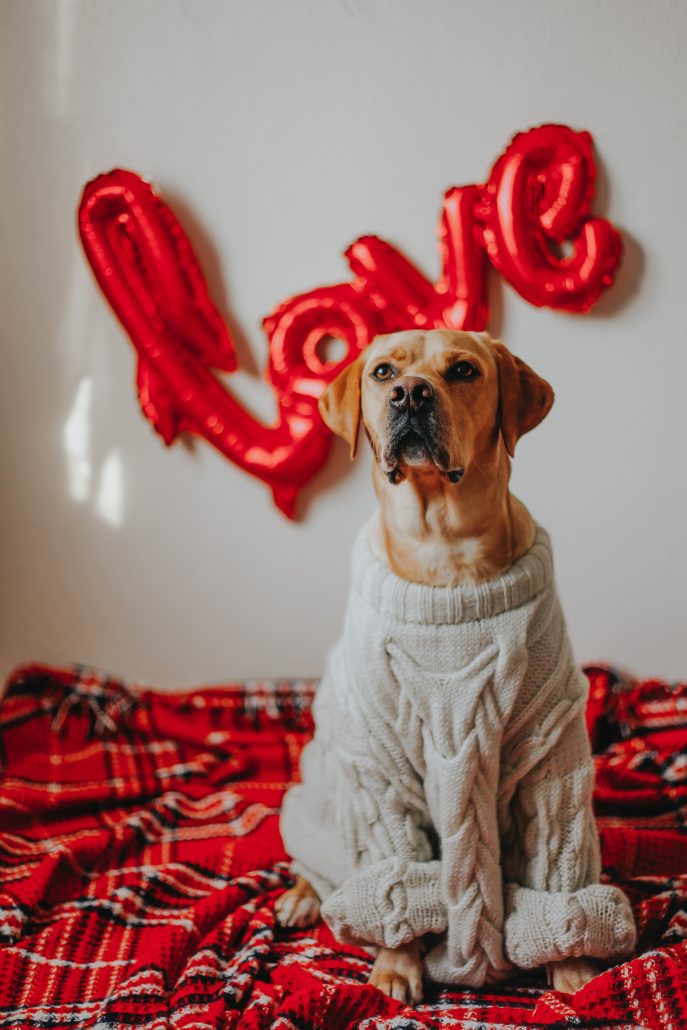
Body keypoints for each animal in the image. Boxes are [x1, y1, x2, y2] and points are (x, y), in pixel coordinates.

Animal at [276, 331, 638, 1005]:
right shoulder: (380, 775)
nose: (411, 394)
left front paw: (573, 964)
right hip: (324, 788)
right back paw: (303, 895)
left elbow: (559, 869)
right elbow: (394, 875)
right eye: (382, 371)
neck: (444, 555)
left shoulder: (551, 760)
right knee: (323, 856)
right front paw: (397, 964)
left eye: (464, 370)